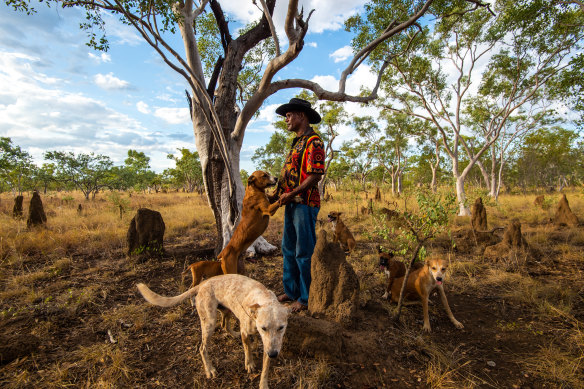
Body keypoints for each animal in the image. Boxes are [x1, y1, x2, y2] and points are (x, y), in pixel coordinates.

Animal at [137, 272, 292, 388]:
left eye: (281, 327)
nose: (273, 354)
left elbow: (264, 367)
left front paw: (263, 384)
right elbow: (247, 348)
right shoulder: (248, 332)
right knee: (202, 348)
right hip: (209, 323)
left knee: (224, 325)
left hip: (227, 310)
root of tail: (203, 283)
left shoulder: (270, 344)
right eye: (263, 328)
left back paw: (233, 334)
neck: (263, 299)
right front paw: (249, 363)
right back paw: (210, 370)